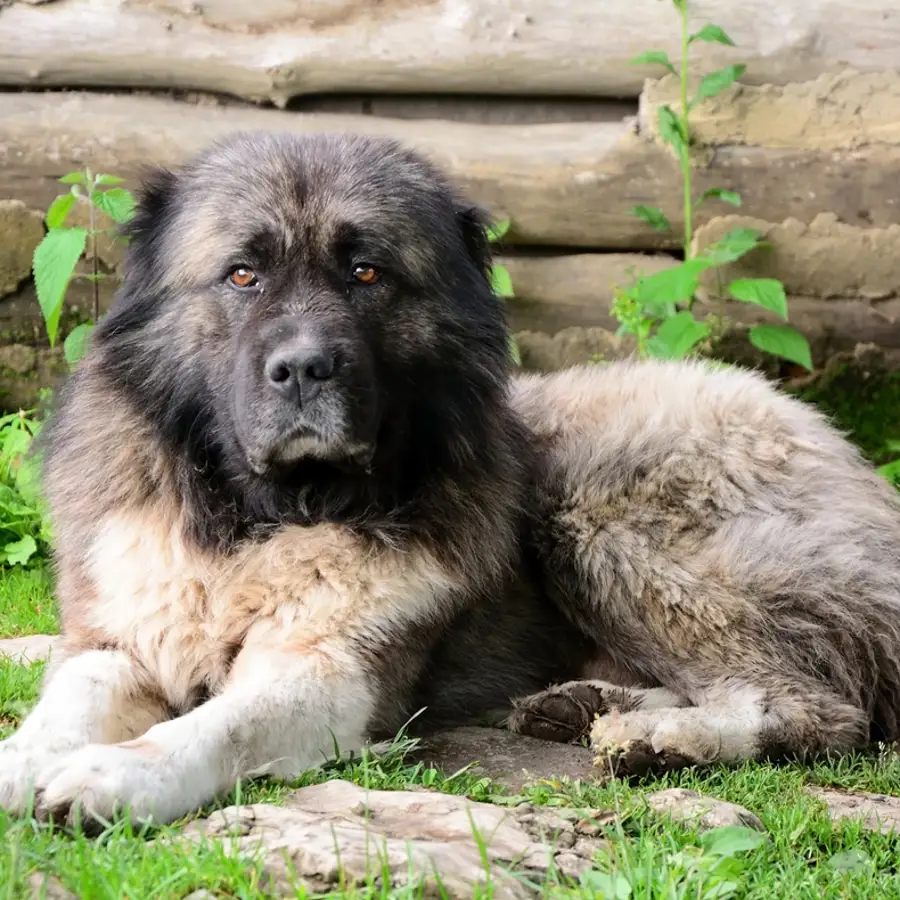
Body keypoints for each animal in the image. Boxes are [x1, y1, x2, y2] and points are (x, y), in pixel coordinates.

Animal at [0, 130, 896, 828]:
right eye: (242, 275)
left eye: (365, 273)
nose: (304, 369)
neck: (261, 522)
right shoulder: (118, 638)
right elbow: (66, 702)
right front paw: (22, 764)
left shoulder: (336, 675)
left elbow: (220, 727)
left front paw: (119, 774)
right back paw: (587, 706)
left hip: (602, 518)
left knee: (817, 706)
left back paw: (659, 739)